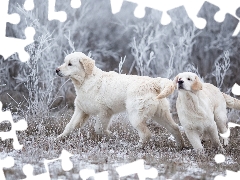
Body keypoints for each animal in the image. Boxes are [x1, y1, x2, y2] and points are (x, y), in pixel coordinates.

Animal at [55, 51, 184, 148]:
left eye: (70, 64)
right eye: (65, 62)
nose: (56, 70)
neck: (85, 81)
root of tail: (153, 83)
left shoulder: (104, 112)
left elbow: (99, 129)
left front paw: (111, 135)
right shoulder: (81, 110)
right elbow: (70, 126)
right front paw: (59, 138)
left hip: (136, 116)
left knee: (146, 134)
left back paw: (138, 147)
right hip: (161, 114)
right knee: (175, 128)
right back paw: (180, 146)